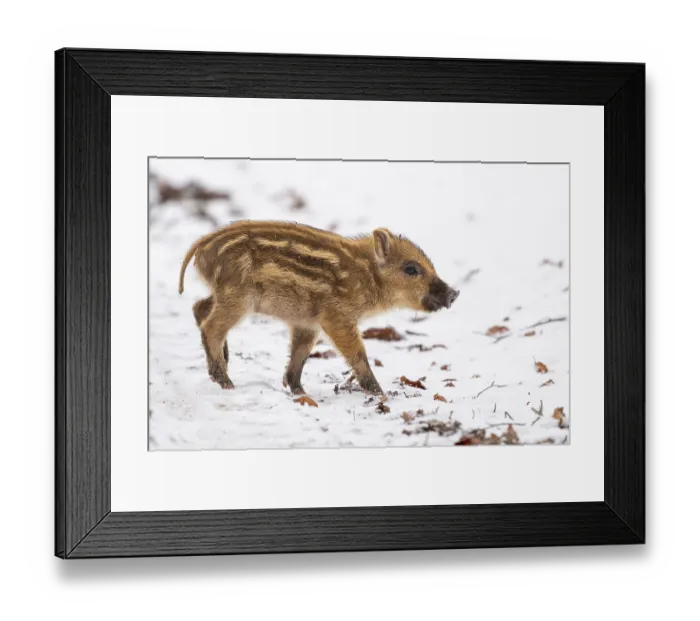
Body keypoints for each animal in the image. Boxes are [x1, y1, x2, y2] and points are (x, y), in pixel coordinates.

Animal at [179, 221, 459, 396]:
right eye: (411, 269)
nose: (454, 294)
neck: (367, 276)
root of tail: (201, 246)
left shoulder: (307, 323)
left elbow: (300, 355)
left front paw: (299, 392)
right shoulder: (336, 318)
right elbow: (358, 354)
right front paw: (381, 394)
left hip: (225, 295)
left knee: (198, 307)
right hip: (238, 298)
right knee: (211, 326)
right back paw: (226, 382)